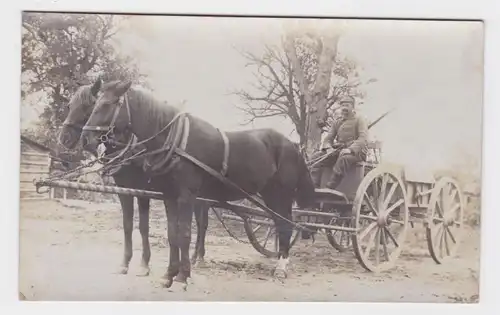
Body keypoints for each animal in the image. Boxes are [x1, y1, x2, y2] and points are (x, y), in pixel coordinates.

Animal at [58, 79, 211, 278]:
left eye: (87, 106)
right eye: (70, 105)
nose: (64, 138)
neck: (131, 147)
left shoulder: (142, 191)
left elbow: (143, 227)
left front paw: (144, 264)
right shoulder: (124, 190)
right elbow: (128, 224)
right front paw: (125, 263)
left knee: (202, 224)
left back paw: (199, 257)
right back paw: (194, 257)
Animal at [81, 79, 316, 292]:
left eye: (107, 104)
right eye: (95, 103)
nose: (85, 139)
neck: (175, 140)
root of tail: (293, 145)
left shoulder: (186, 195)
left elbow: (185, 234)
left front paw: (182, 277)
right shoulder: (169, 195)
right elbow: (172, 234)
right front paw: (169, 275)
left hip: (281, 195)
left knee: (285, 225)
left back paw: (281, 267)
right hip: (269, 194)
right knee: (279, 224)